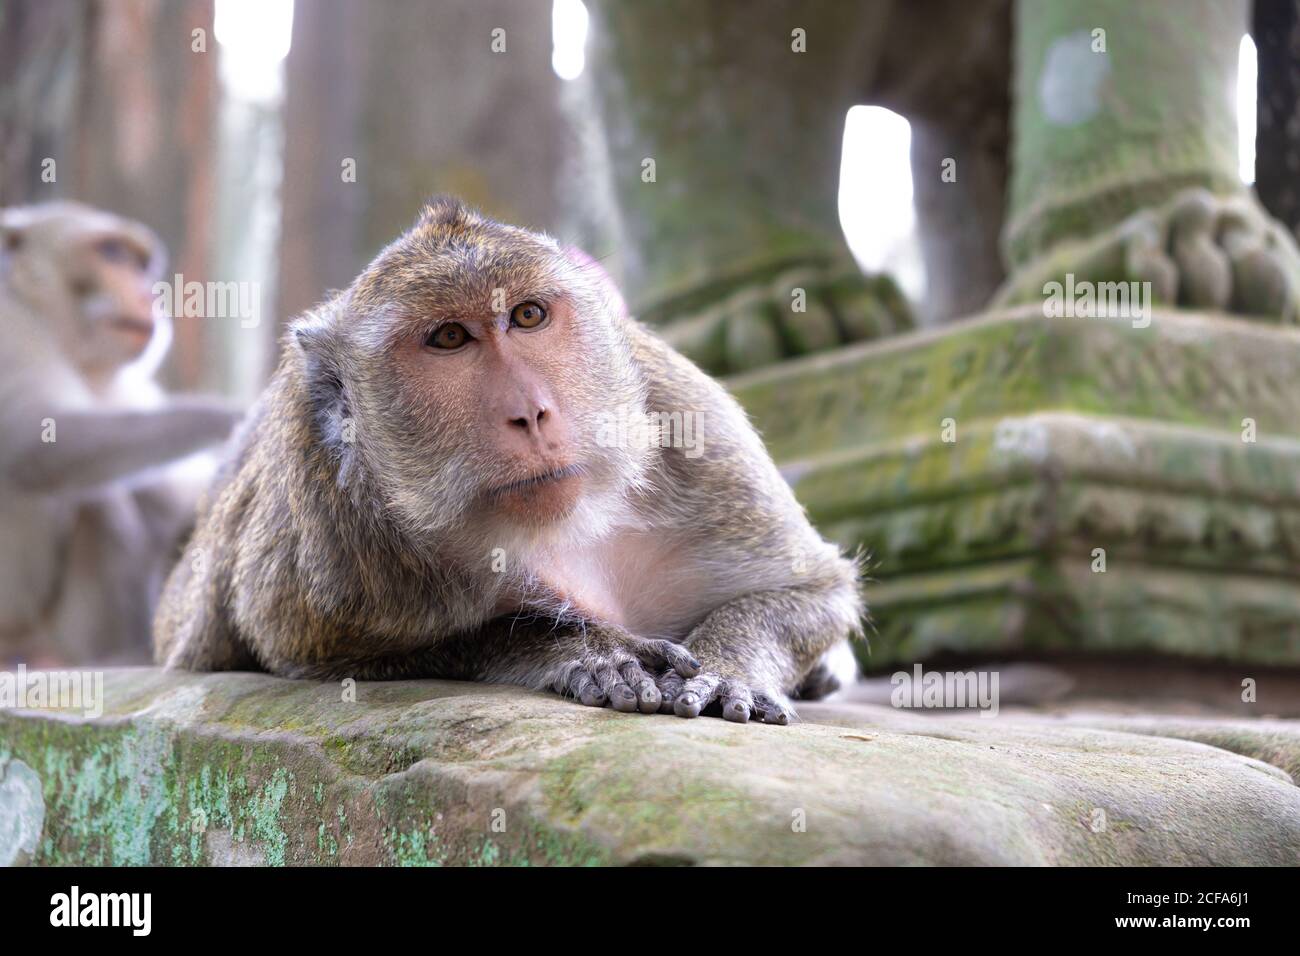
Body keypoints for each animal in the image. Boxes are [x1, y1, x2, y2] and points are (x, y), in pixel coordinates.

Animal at [0, 201, 241, 665]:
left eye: (140, 264)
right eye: (111, 253)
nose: (150, 295)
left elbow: (169, 492)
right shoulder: (10, 332)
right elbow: (31, 444)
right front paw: (229, 417)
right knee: (98, 498)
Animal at [154, 200, 863, 723]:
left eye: (527, 315)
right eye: (449, 337)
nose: (531, 411)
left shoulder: (695, 430)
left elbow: (811, 591)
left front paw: (728, 666)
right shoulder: (335, 539)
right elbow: (307, 649)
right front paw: (584, 649)